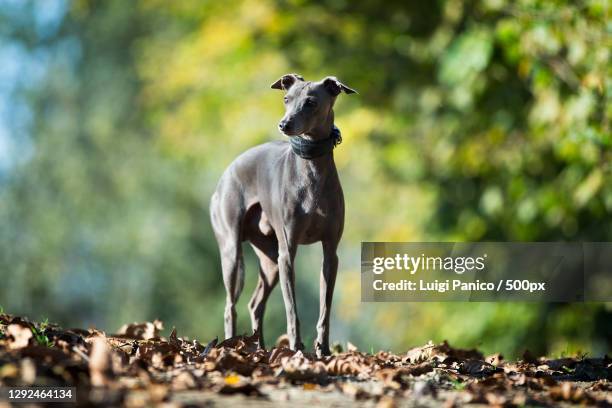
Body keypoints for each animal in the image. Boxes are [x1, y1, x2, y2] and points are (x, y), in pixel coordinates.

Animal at [210, 74, 356, 356]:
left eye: (311, 102)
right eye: (286, 99)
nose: (284, 124)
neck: (311, 169)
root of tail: (225, 175)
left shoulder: (330, 253)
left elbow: (325, 308)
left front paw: (323, 349)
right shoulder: (288, 252)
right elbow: (292, 309)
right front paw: (297, 347)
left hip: (270, 261)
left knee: (255, 304)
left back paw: (259, 348)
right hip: (233, 252)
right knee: (230, 307)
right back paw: (231, 345)